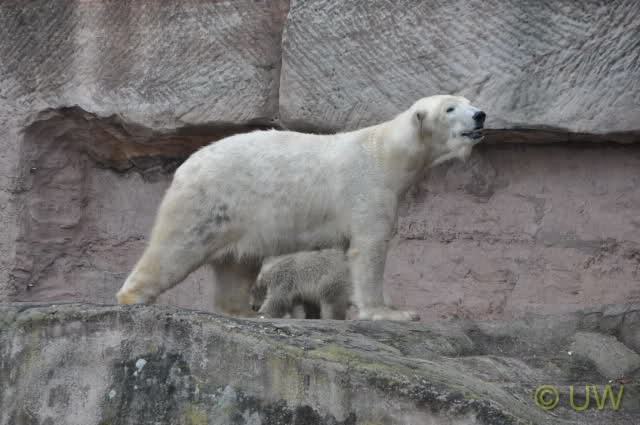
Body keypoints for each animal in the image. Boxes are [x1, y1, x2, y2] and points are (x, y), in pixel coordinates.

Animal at [116, 94, 486, 321]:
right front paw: (392, 312)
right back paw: (132, 299)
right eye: (450, 108)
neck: (387, 153)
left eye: (469, 103)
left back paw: (247, 313)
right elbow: (369, 249)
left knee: (238, 265)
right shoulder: (367, 189)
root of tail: (185, 166)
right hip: (209, 202)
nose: (481, 115)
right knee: (174, 249)